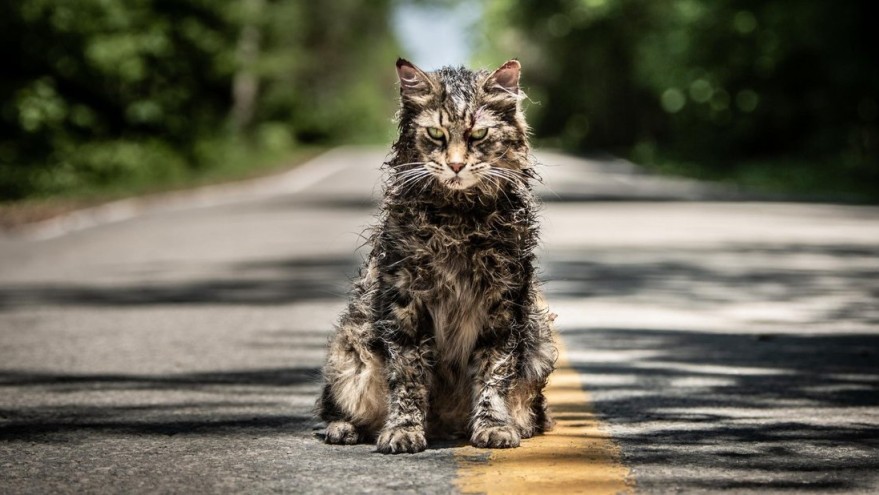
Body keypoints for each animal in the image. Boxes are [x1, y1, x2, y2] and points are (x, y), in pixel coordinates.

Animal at [312, 58, 552, 454]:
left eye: (478, 135)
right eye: (436, 134)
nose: (455, 165)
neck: (458, 219)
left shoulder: (503, 304)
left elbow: (493, 374)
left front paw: (493, 426)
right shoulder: (405, 302)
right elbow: (409, 377)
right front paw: (403, 430)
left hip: (539, 344)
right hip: (350, 351)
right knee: (335, 407)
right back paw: (343, 429)